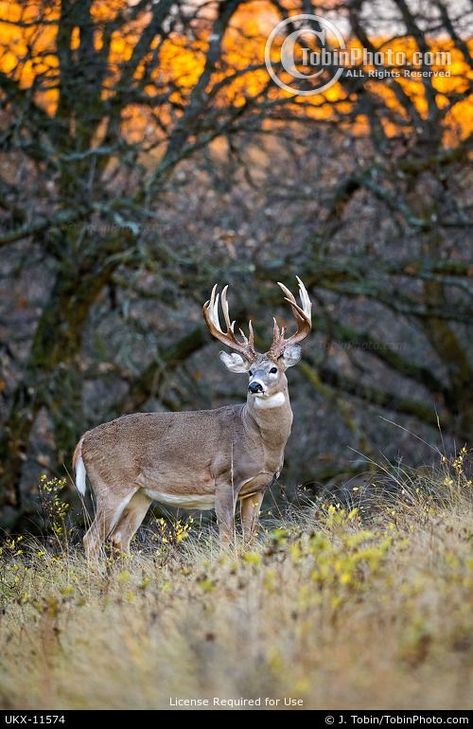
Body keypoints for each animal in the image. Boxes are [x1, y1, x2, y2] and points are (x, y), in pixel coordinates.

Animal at [73, 276, 310, 556]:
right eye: (250, 371)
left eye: (274, 369)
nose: (254, 386)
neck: (259, 440)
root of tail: (84, 440)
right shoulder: (225, 479)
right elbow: (227, 537)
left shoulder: (258, 489)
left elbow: (249, 539)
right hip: (111, 485)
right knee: (92, 538)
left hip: (141, 494)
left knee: (119, 538)